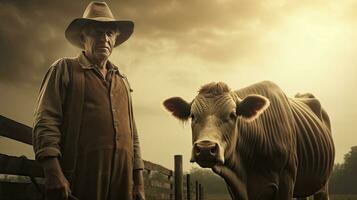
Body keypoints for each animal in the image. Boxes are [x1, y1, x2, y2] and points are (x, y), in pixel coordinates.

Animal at [163, 80, 332, 199]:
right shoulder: (235, 189)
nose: (205, 148)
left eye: (232, 115)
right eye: (192, 116)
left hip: (322, 184)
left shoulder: (287, 180)